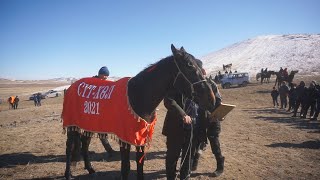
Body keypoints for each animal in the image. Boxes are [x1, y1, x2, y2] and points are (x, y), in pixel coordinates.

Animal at [63, 44, 215, 180]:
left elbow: (139, 164)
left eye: (200, 64)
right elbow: (126, 167)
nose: (211, 99)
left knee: (85, 143)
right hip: (72, 125)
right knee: (70, 147)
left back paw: (90, 169)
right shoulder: (124, 137)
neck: (138, 95)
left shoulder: (141, 134)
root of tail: (71, 87)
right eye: (189, 65)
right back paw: (68, 174)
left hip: (89, 124)